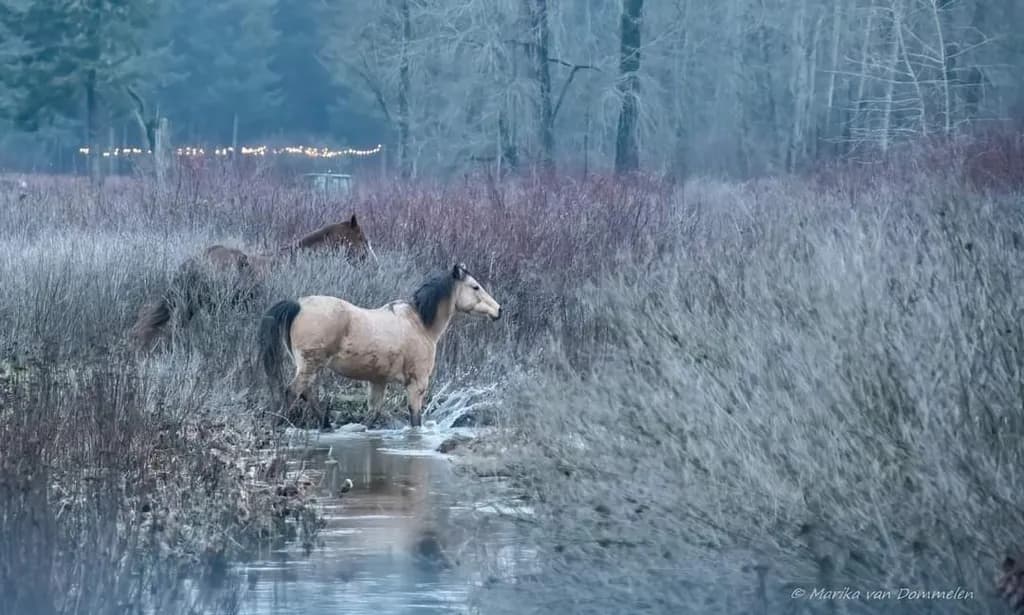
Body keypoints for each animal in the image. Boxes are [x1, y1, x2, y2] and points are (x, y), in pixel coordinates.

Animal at [257, 263, 501, 430]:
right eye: (475, 287)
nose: (499, 310)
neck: (420, 324)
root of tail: (298, 304)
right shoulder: (417, 385)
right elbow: (415, 420)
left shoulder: (378, 381)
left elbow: (372, 415)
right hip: (310, 365)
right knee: (292, 392)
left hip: (309, 367)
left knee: (307, 393)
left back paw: (326, 425)